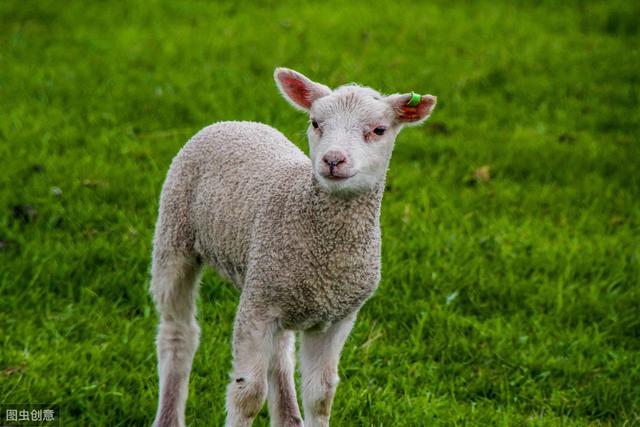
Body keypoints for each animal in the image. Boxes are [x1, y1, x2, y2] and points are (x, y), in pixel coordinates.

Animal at [151, 67, 436, 427]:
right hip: (176, 233)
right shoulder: (256, 309)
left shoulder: (338, 316)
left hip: (273, 282)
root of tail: (235, 122)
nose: (332, 159)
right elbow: (247, 395)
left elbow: (321, 395)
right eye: (315, 123)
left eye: (378, 130)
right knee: (178, 333)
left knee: (280, 351)